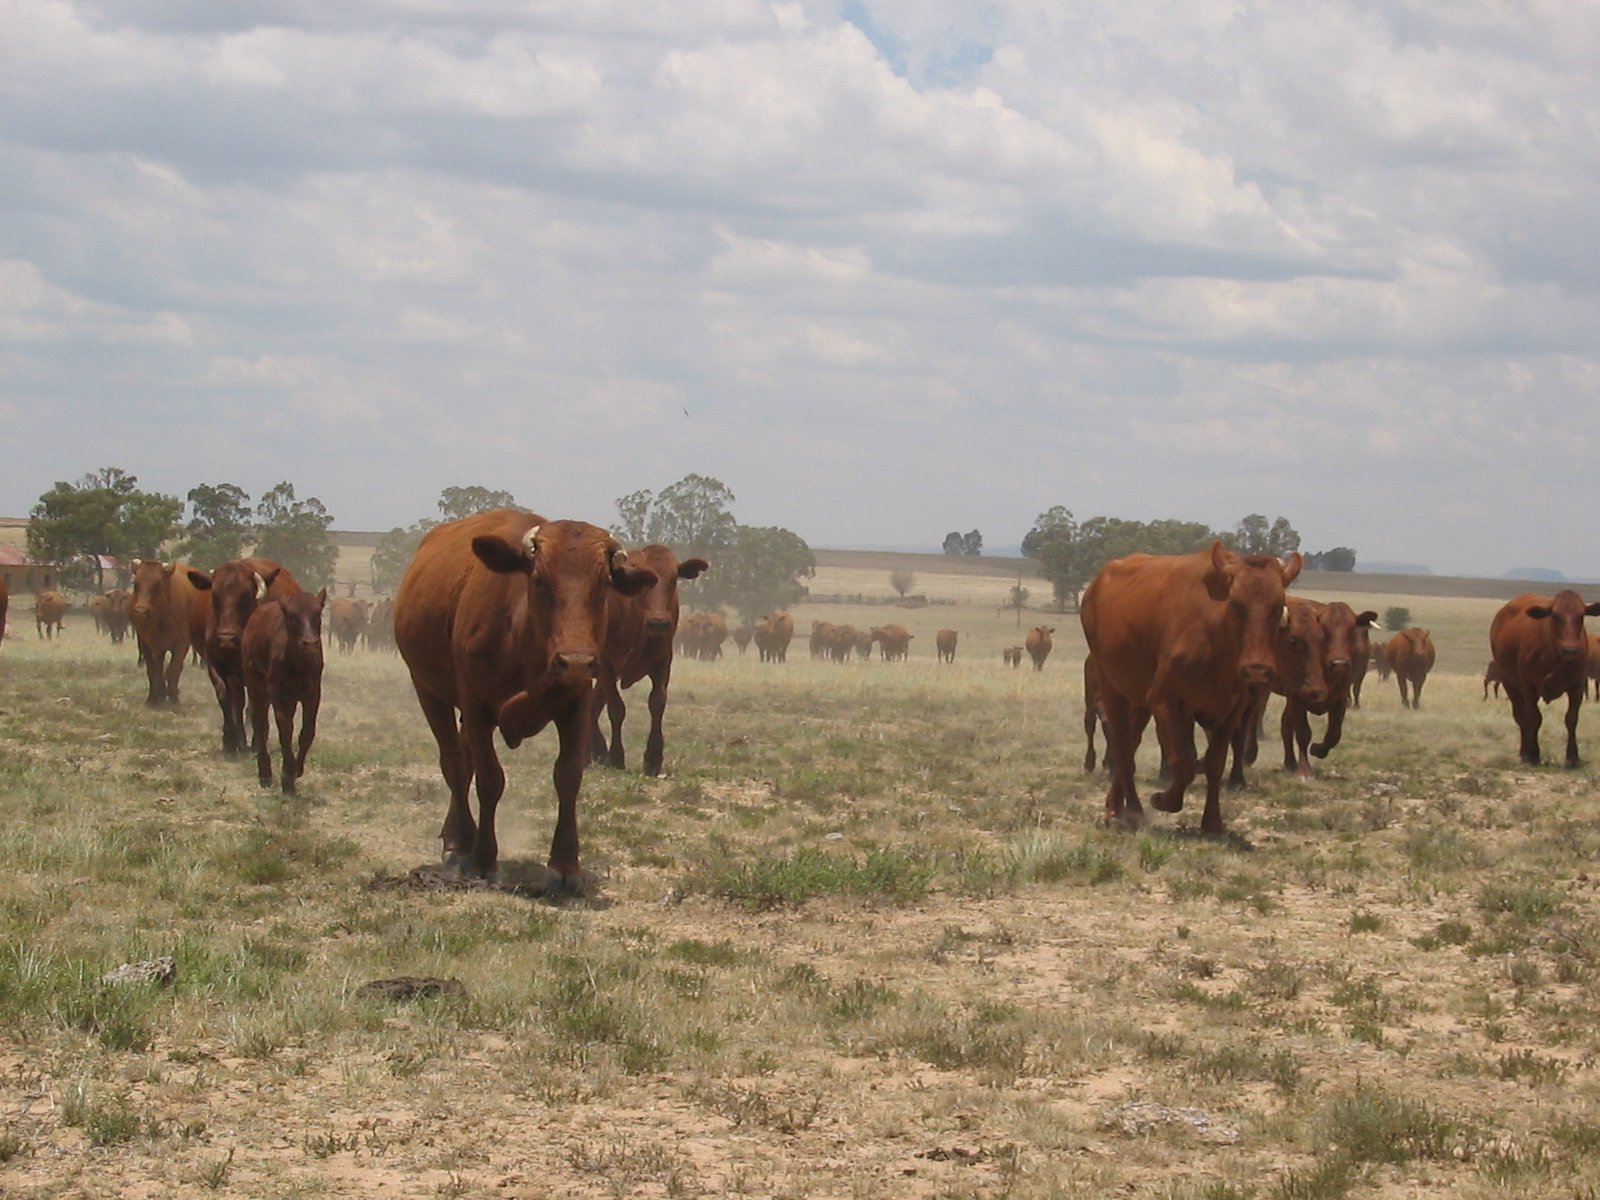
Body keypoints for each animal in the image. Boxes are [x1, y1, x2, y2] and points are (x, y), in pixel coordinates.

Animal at [131, 563, 204, 710]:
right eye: (136, 584)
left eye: (158, 584)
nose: (141, 611)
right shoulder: (147, 644)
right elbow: (153, 671)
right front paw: (153, 699)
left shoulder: (181, 644)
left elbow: (173, 670)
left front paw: (173, 698)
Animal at [188, 563, 300, 752]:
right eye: (214, 594)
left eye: (247, 594)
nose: (226, 638)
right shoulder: (215, 665)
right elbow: (227, 698)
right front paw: (231, 740)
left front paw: (256, 741)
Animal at [241, 588, 326, 793]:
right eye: (292, 616)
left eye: (317, 614)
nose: (310, 643)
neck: (298, 665)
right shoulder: (277, 692)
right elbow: (285, 727)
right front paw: (288, 773)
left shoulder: (313, 693)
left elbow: (307, 730)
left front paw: (297, 769)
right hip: (256, 686)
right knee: (260, 724)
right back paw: (265, 772)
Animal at [592, 544, 710, 774]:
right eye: (645, 582)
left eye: (674, 580)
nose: (659, 622)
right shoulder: (607, 666)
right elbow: (616, 708)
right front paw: (616, 756)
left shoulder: (663, 662)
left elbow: (657, 703)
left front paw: (653, 758)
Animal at [1081, 544, 1305, 838]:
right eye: (1236, 604)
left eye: (1278, 606)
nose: (1257, 670)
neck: (1215, 638)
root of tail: (1095, 586)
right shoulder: (1165, 702)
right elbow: (1184, 762)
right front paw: (1163, 800)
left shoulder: (1230, 711)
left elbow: (1214, 763)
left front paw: (1212, 823)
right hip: (1112, 688)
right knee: (1122, 748)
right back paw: (1133, 811)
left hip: (1138, 701)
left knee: (1129, 742)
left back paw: (1116, 805)